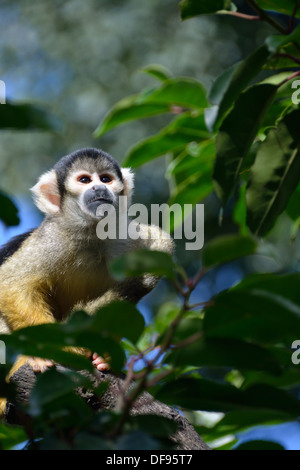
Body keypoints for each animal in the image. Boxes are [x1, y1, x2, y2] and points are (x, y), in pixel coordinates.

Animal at [0, 148, 173, 414]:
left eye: (105, 179)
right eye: (84, 180)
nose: (99, 188)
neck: (92, 232)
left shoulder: (127, 237)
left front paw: (106, 354)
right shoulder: (52, 237)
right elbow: (11, 283)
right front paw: (48, 348)